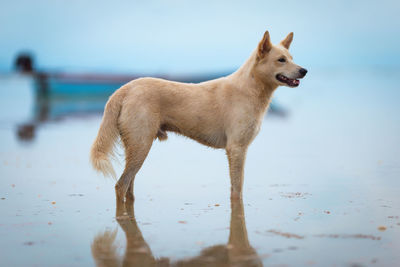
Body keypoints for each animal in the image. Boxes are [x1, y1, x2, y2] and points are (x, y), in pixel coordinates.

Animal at [90, 30, 308, 201]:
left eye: (291, 57)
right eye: (281, 60)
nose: (304, 70)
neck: (250, 88)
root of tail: (124, 89)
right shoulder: (237, 148)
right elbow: (237, 189)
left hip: (136, 147)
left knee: (128, 187)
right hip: (141, 145)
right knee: (121, 185)